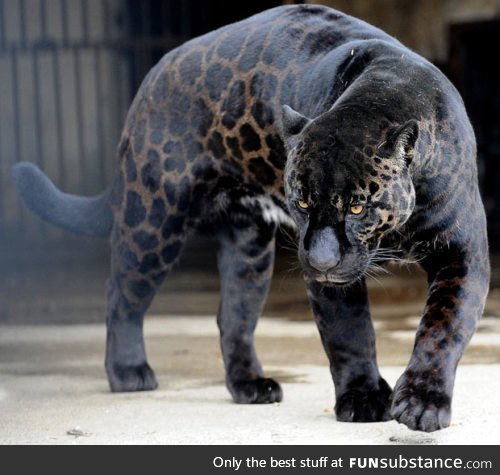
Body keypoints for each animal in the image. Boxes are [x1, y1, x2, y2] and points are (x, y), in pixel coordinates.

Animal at [11, 4, 488, 436]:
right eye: (301, 202)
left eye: (357, 207)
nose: (320, 261)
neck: (384, 91)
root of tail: (153, 76)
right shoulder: (335, 281)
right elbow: (349, 333)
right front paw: (364, 398)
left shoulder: (462, 253)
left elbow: (442, 327)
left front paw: (423, 403)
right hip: (153, 219)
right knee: (122, 293)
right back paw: (128, 372)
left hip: (249, 249)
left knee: (233, 317)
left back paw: (250, 385)